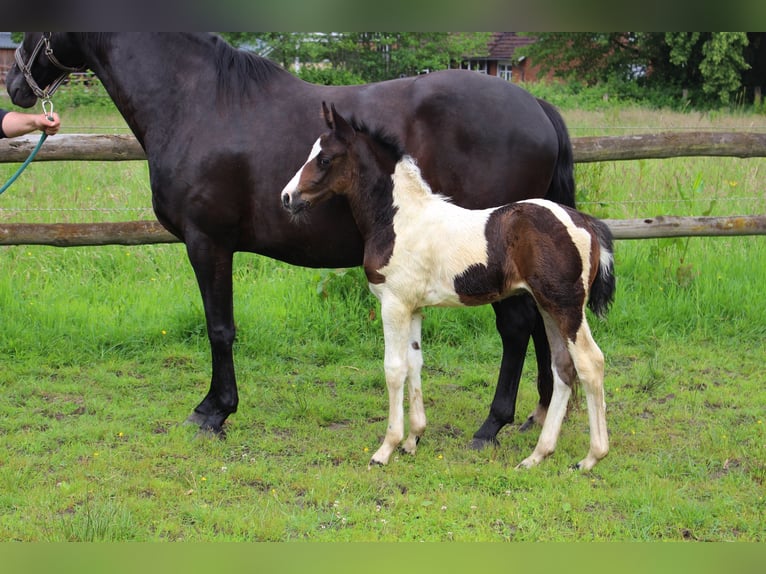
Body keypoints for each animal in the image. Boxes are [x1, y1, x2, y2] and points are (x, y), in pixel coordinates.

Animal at [7, 33, 576, 445]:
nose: (14, 83)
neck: (195, 101)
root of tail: (535, 105)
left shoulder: (206, 242)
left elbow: (219, 328)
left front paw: (213, 412)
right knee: (539, 325)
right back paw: (540, 412)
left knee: (517, 327)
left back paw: (493, 425)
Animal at [282, 103, 615, 470]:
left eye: (325, 158)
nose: (287, 197)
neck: (399, 219)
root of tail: (586, 223)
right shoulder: (414, 307)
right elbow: (415, 364)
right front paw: (413, 439)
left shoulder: (394, 304)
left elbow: (394, 369)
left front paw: (386, 448)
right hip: (547, 305)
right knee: (564, 367)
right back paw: (536, 456)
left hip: (566, 306)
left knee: (590, 363)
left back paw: (591, 458)